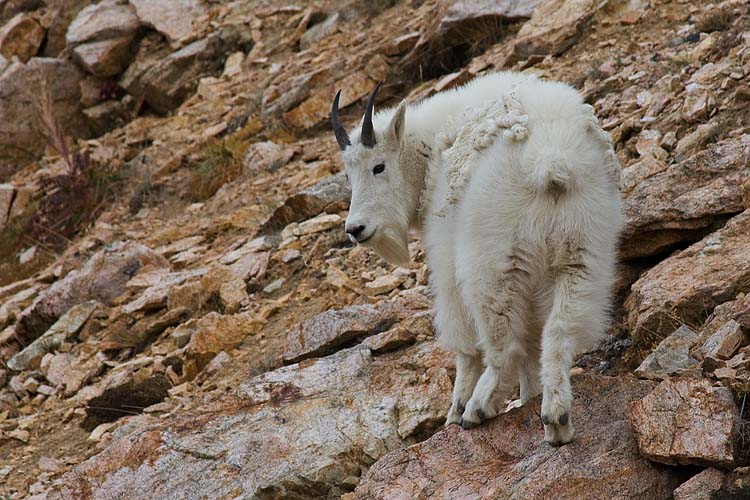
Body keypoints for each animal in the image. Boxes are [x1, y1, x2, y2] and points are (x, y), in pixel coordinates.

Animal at [331, 72, 623, 445]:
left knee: (502, 343)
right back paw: (556, 419)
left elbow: (465, 346)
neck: (429, 152)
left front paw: (454, 411)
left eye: (378, 167)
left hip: (491, 258)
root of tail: (551, 154)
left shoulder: (444, 254)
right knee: (560, 329)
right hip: (584, 249)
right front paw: (528, 396)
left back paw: (478, 407)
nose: (356, 228)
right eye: (348, 175)